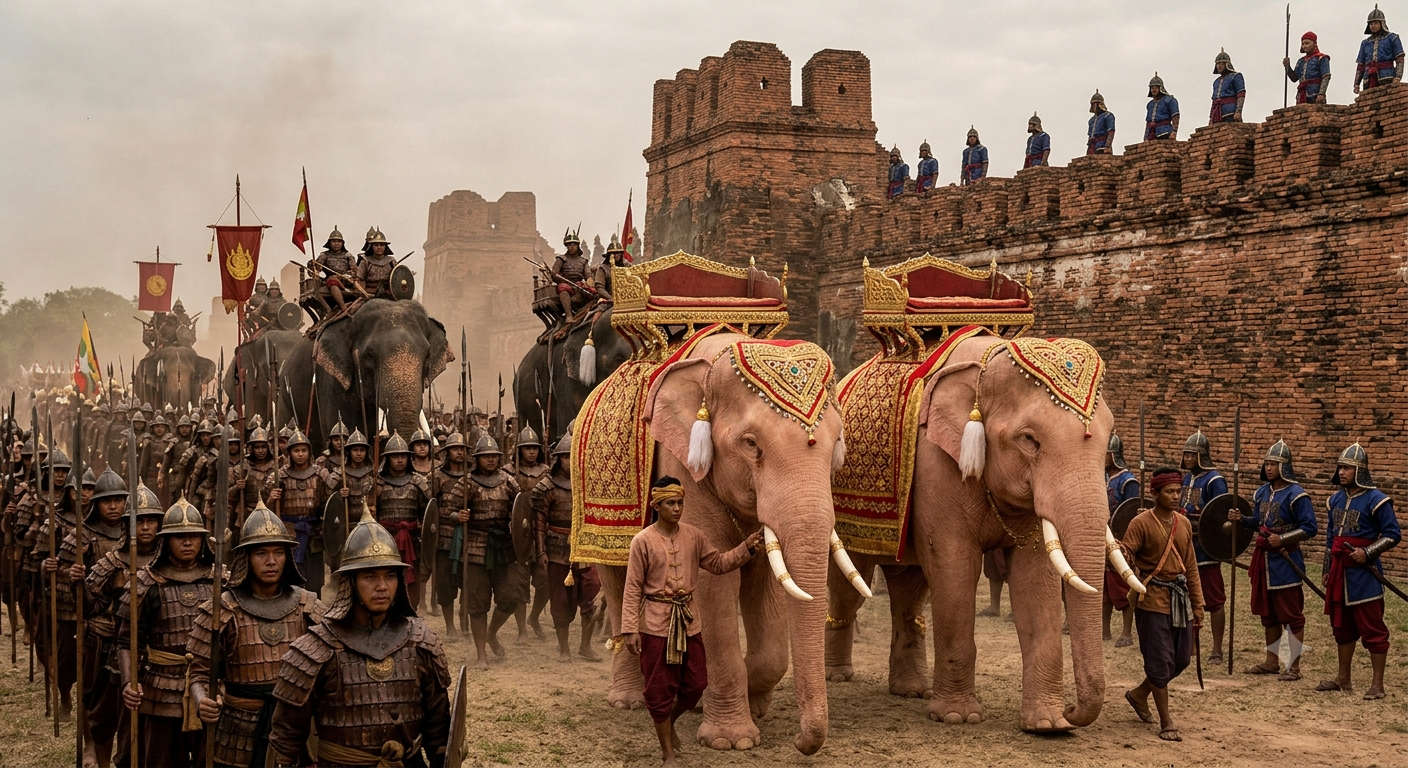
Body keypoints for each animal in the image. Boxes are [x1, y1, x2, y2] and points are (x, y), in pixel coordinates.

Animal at [589, 332, 866, 755]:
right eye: (750, 443)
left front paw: (753, 702)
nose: (802, 744)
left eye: (837, 442)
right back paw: (629, 700)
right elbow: (714, 583)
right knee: (619, 585)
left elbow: (767, 591)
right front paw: (731, 741)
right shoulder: (684, 464)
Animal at [825, 334, 1140, 732]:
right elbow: (955, 567)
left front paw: (1049, 726)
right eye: (1029, 440)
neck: (986, 366)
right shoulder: (936, 464)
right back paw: (838, 676)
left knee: (908, 587)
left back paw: (912, 691)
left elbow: (1036, 579)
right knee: (850, 585)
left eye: (1106, 439)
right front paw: (958, 717)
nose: (1072, 710)